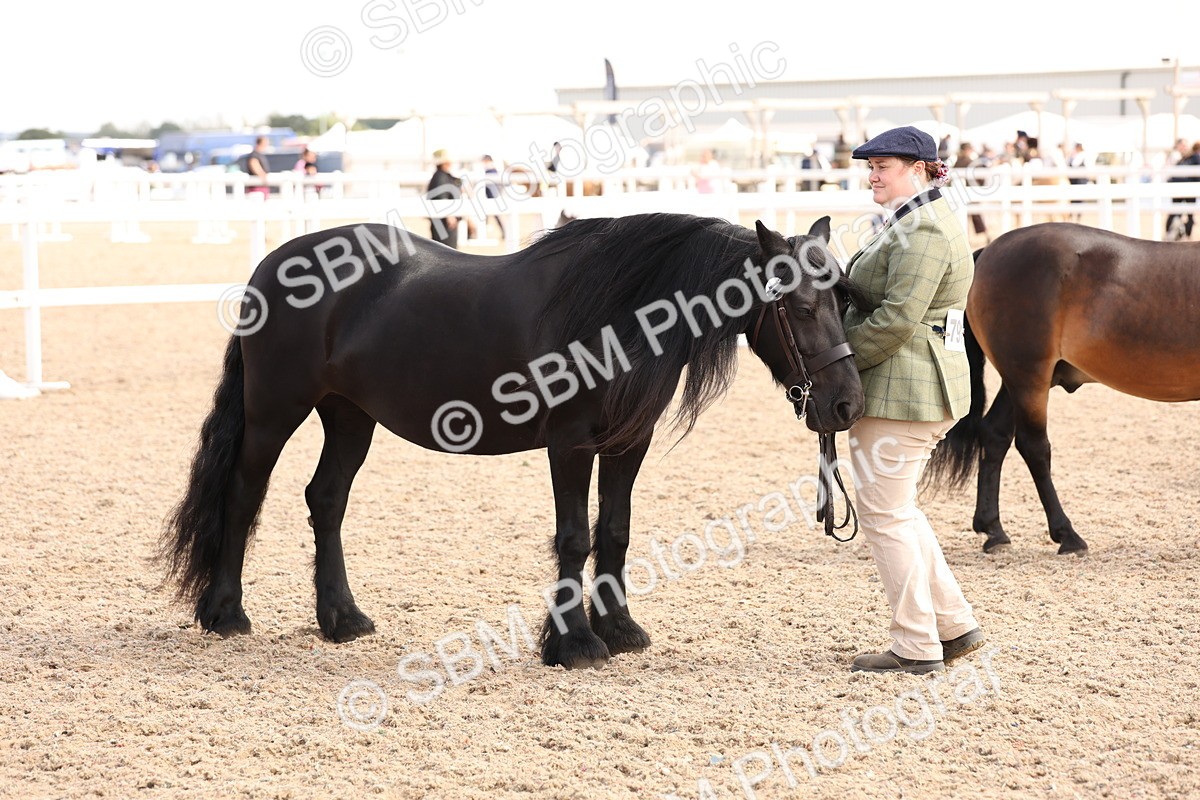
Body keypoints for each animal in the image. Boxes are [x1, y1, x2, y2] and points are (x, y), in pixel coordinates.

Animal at [159, 212, 868, 669]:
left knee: (325, 500)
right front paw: (574, 644)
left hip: (350, 417)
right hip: (274, 411)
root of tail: (275, 264)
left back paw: (343, 620)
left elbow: (615, 532)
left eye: (844, 298)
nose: (846, 404)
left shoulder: (627, 445)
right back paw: (225, 613)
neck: (619, 312)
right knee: (244, 494)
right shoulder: (570, 444)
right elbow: (574, 537)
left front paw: (620, 629)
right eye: (802, 307)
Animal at [925, 222, 1200, 555]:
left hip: (1019, 380)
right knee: (1033, 446)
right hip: (1029, 377)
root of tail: (989, 250)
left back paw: (994, 530)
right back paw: (1066, 534)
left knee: (994, 434)